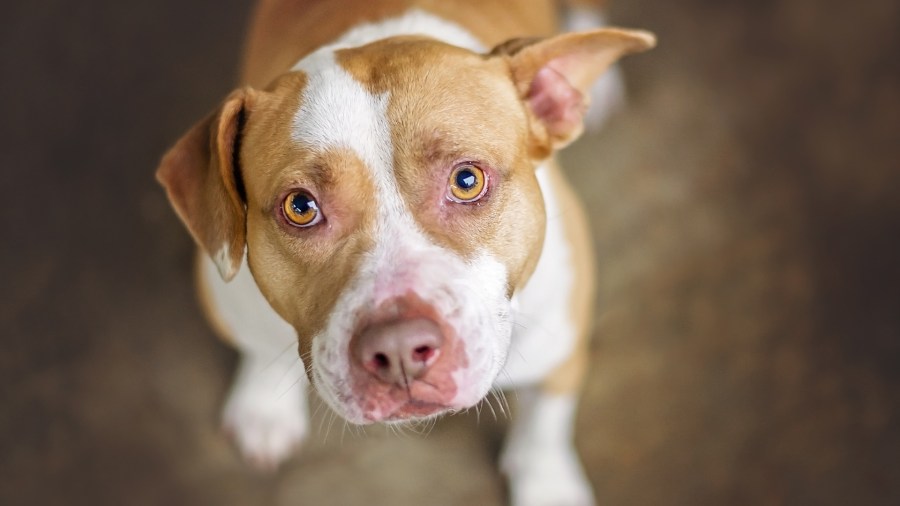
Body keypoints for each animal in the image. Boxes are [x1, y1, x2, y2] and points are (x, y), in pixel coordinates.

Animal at [156, 0, 652, 502]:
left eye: (467, 180)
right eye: (300, 207)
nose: (398, 350)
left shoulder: (561, 338)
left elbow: (545, 419)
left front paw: (546, 483)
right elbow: (257, 347)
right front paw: (264, 408)